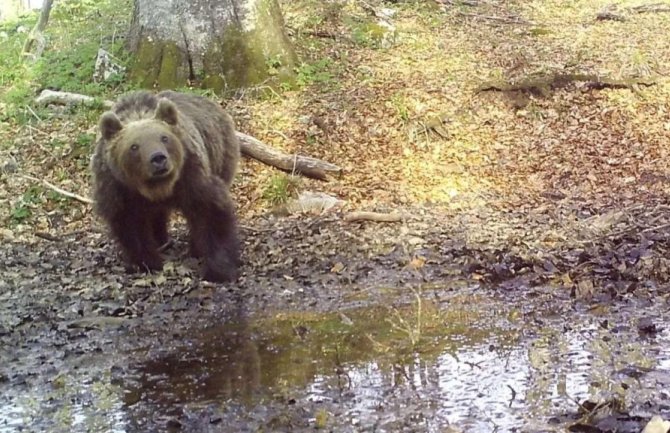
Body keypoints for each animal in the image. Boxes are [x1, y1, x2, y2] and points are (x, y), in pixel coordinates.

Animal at [92, 89, 242, 282]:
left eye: (164, 137)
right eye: (134, 146)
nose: (158, 158)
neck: (156, 188)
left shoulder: (190, 175)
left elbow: (211, 211)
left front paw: (218, 270)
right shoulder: (118, 188)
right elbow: (131, 225)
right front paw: (148, 262)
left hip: (221, 155)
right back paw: (161, 241)